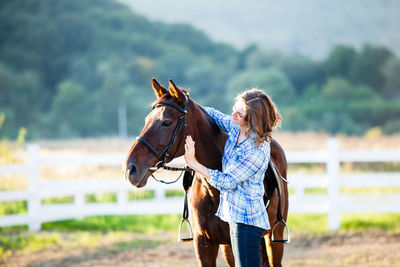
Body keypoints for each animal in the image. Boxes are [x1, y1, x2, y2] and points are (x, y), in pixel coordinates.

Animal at [124, 78, 288, 266]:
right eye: (147, 119)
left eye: (166, 122)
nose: (130, 168)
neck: (214, 193)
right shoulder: (204, 245)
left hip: (273, 239)